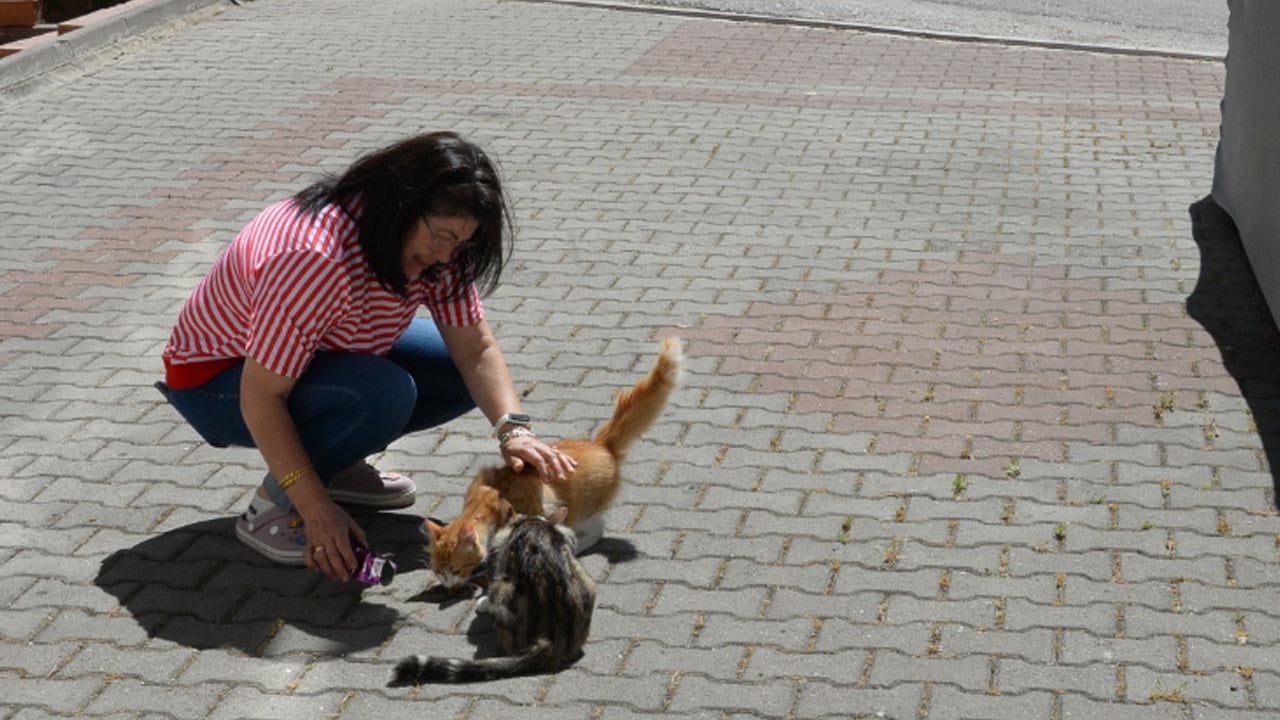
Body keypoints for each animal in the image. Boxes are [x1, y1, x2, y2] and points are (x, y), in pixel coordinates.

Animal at [389, 502, 593, 681]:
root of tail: (550, 637)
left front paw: (483, 602)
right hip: (587, 579)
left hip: (503, 588)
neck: (531, 521)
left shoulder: (497, 548)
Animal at [422, 333, 686, 586]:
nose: (446, 582)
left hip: (580, 510)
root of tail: (601, 443)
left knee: (594, 530)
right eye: (436, 569)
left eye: (455, 569)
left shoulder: (537, 510)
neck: (486, 500)